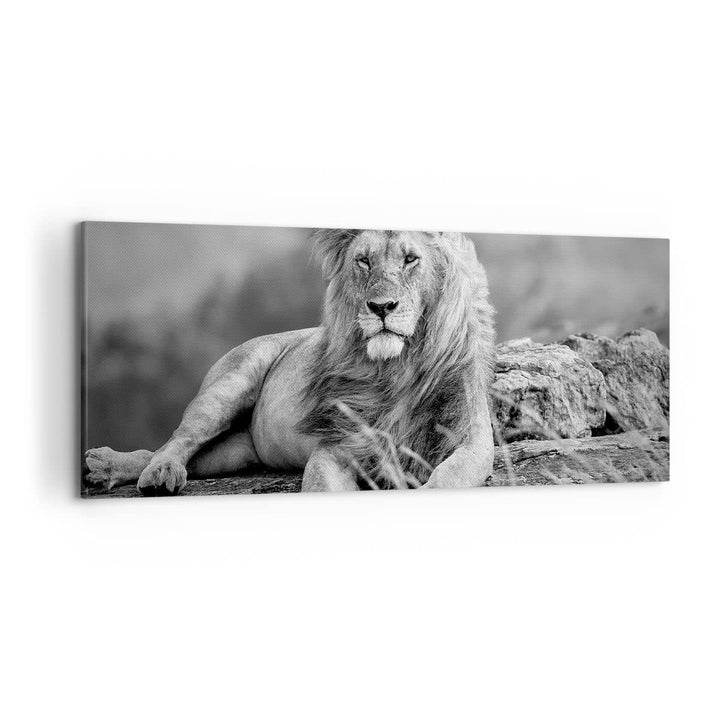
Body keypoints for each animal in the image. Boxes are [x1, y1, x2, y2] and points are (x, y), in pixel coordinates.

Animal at [84, 228, 496, 494]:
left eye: (411, 259)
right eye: (363, 261)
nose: (381, 307)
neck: (399, 367)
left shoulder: (473, 442)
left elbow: (446, 479)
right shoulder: (336, 446)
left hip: (236, 453)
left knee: (171, 453)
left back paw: (106, 468)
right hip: (228, 386)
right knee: (176, 441)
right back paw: (151, 472)